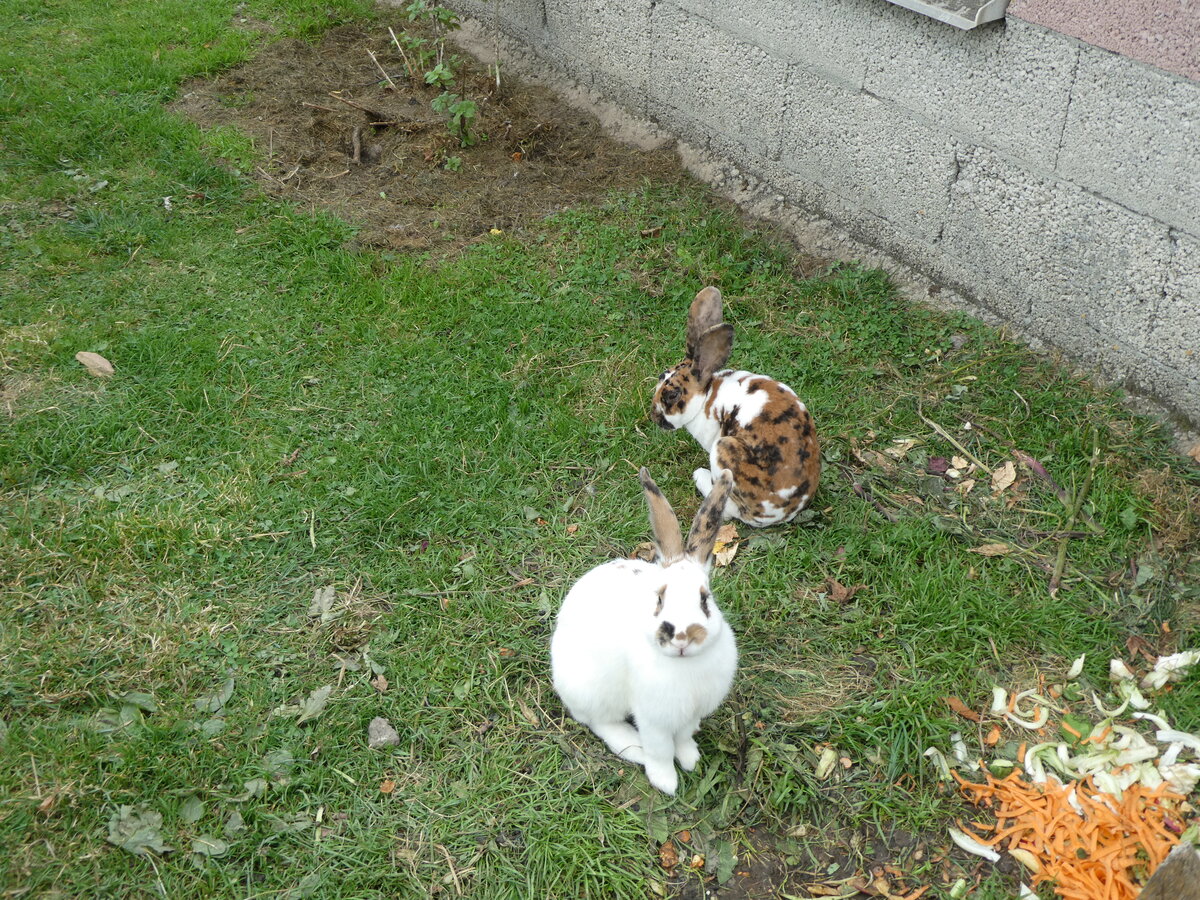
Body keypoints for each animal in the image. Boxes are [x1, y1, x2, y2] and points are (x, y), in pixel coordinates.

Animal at [550, 467, 738, 796]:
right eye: (659, 599)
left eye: (705, 599)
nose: (681, 636)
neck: (685, 666)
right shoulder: (653, 718)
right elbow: (660, 750)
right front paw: (665, 782)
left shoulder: (688, 715)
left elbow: (683, 739)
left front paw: (690, 760)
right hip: (593, 691)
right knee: (597, 722)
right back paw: (632, 746)